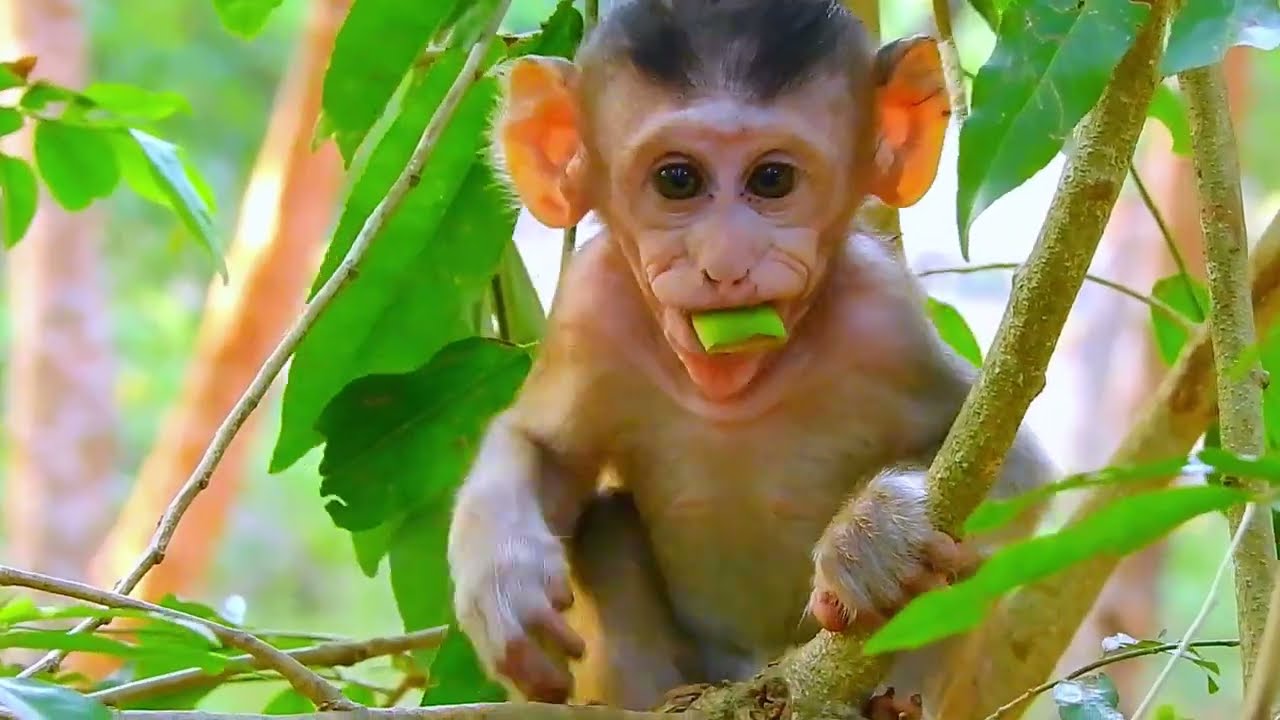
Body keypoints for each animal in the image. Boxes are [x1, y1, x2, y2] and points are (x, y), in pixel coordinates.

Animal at [446, 0, 1057, 715]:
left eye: (773, 179)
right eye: (677, 179)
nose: (727, 264)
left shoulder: (883, 315)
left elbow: (1012, 463)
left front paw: (873, 535)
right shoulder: (589, 309)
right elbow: (545, 450)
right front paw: (502, 575)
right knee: (605, 523)